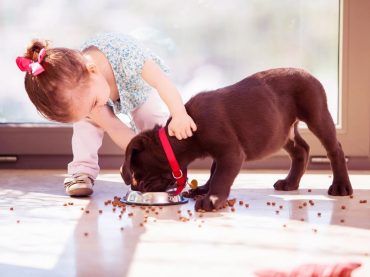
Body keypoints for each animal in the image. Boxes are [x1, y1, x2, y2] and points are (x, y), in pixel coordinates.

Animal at [121, 68, 352, 210]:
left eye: (138, 175)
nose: (136, 188)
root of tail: (308, 73)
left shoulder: (230, 152)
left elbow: (221, 176)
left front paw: (211, 199)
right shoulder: (221, 154)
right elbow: (214, 171)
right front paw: (204, 189)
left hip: (317, 115)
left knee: (335, 149)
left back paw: (341, 186)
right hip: (282, 131)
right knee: (301, 150)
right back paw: (290, 182)